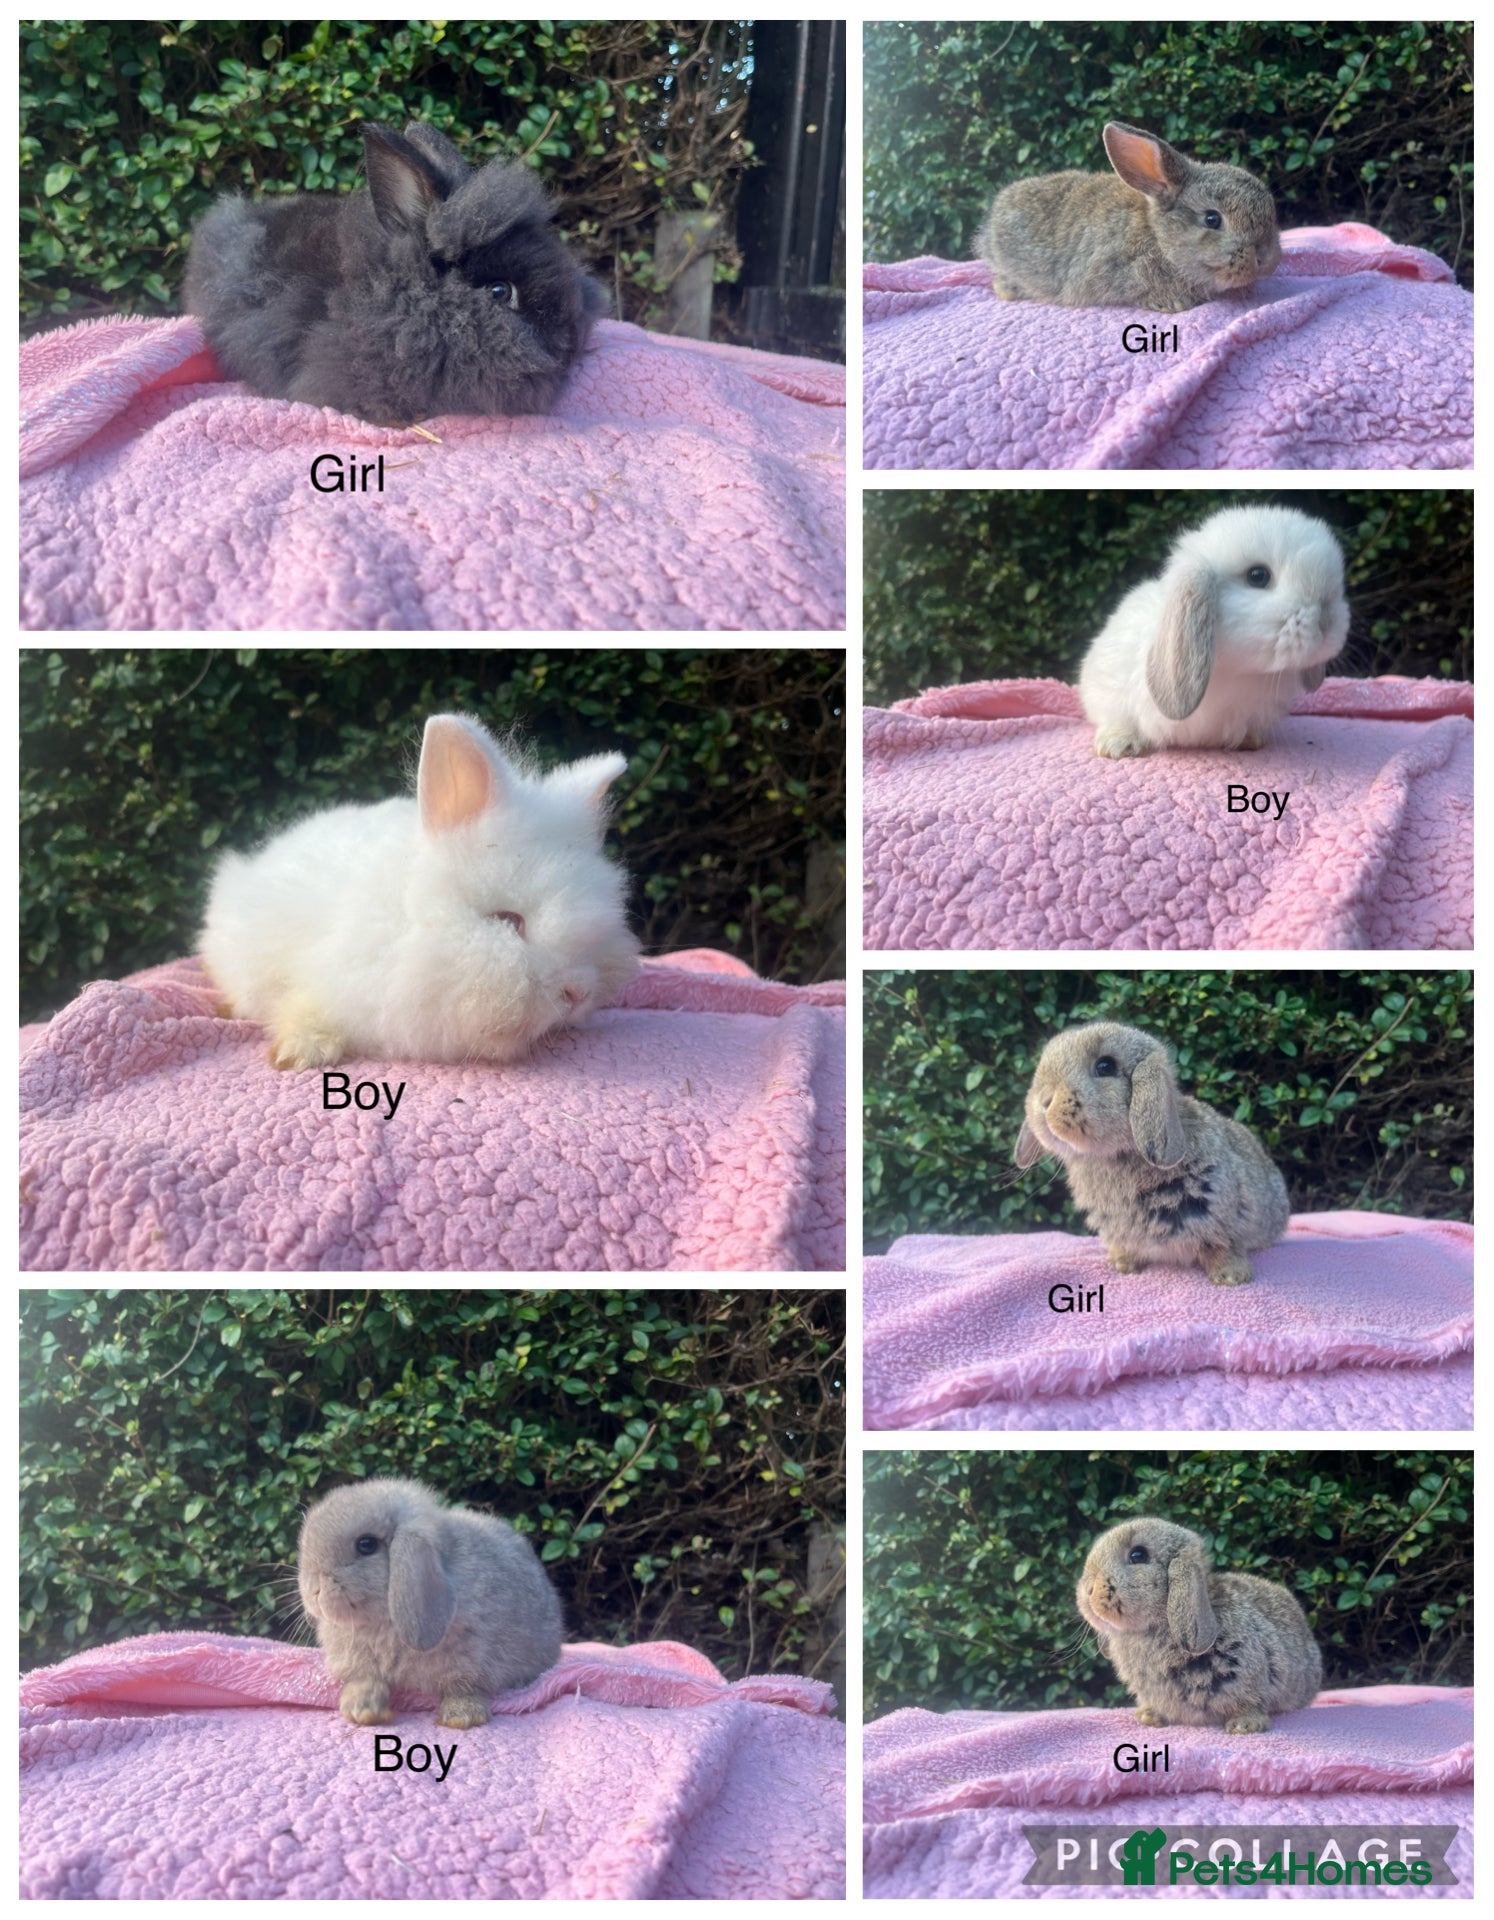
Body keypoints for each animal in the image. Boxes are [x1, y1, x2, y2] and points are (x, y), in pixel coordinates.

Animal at [298, 1477, 563, 1728]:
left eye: (367, 1544)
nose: (314, 1589)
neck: (383, 1623)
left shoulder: (472, 1660)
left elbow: (464, 1688)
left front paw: (462, 1717)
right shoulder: (360, 1664)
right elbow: (364, 1682)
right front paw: (361, 1711)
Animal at [1014, 1021, 1288, 1286]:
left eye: (1105, 1066)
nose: (1043, 1101)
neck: (1116, 1154)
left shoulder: (1224, 1218)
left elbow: (1224, 1247)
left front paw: (1231, 1277)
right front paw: (1123, 1265)